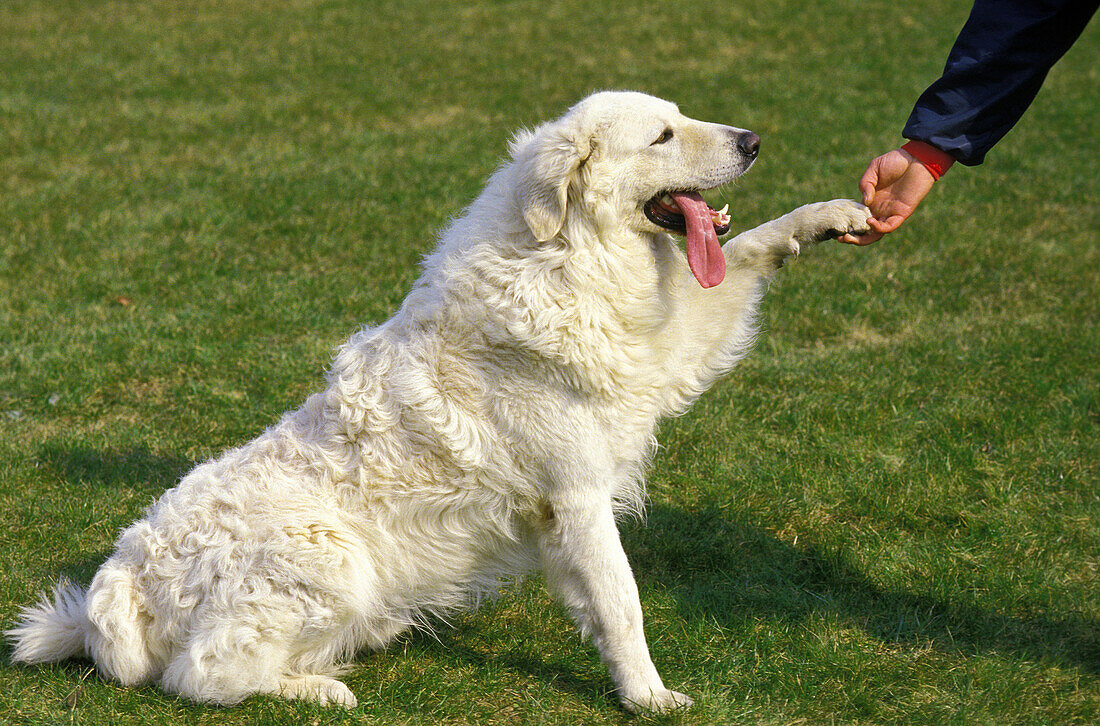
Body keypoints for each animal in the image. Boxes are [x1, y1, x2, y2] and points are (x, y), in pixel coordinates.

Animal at [6, 92, 866, 712]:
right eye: (662, 136)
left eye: (685, 117)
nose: (753, 140)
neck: (561, 254)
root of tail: (113, 592)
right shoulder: (579, 498)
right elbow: (624, 605)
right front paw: (649, 696)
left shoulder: (660, 355)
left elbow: (747, 249)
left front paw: (829, 216)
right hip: (331, 555)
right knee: (201, 676)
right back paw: (317, 691)